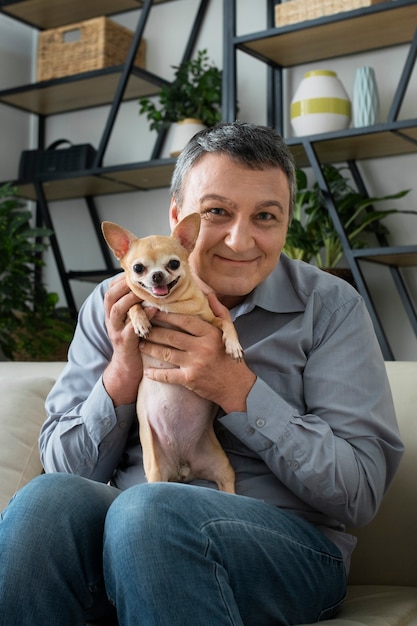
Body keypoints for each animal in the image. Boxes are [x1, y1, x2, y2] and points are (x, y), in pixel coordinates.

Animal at [101, 214, 242, 492]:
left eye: (174, 264)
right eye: (138, 268)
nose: (157, 275)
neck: (167, 305)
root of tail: (183, 467)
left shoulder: (211, 320)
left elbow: (226, 322)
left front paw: (233, 345)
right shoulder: (133, 306)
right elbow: (134, 305)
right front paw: (141, 322)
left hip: (223, 467)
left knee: (228, 485)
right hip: (155, 470)